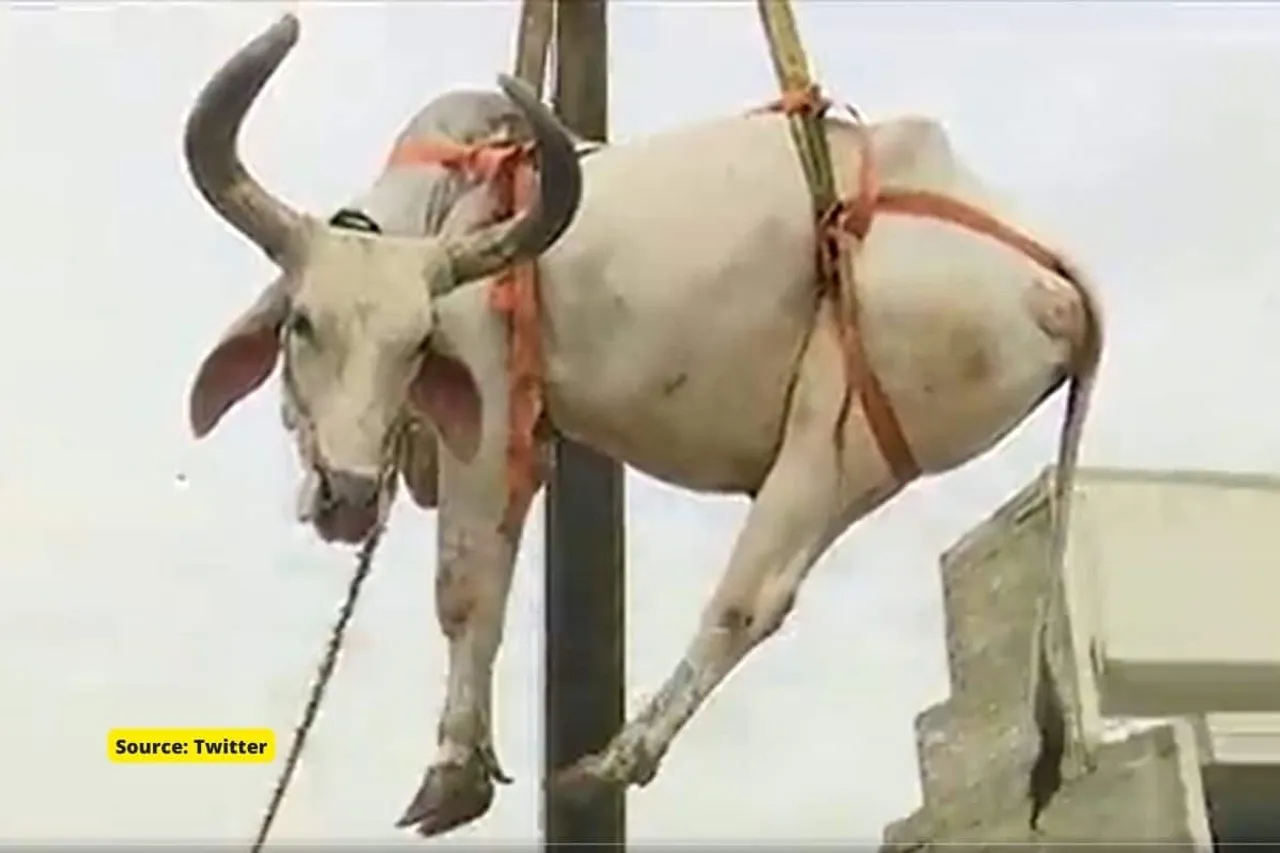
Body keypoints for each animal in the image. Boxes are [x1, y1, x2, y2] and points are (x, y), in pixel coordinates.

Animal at [180, 14, 1100, 835]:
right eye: (302, 324)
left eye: (417, 343)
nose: (346, 493)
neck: (450, 203)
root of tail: (1058, 277)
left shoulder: (489, 403)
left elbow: (466, 589)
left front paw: (452, 772)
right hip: (868, 452)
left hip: (831, 428)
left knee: (748, 600)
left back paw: (612, 762)